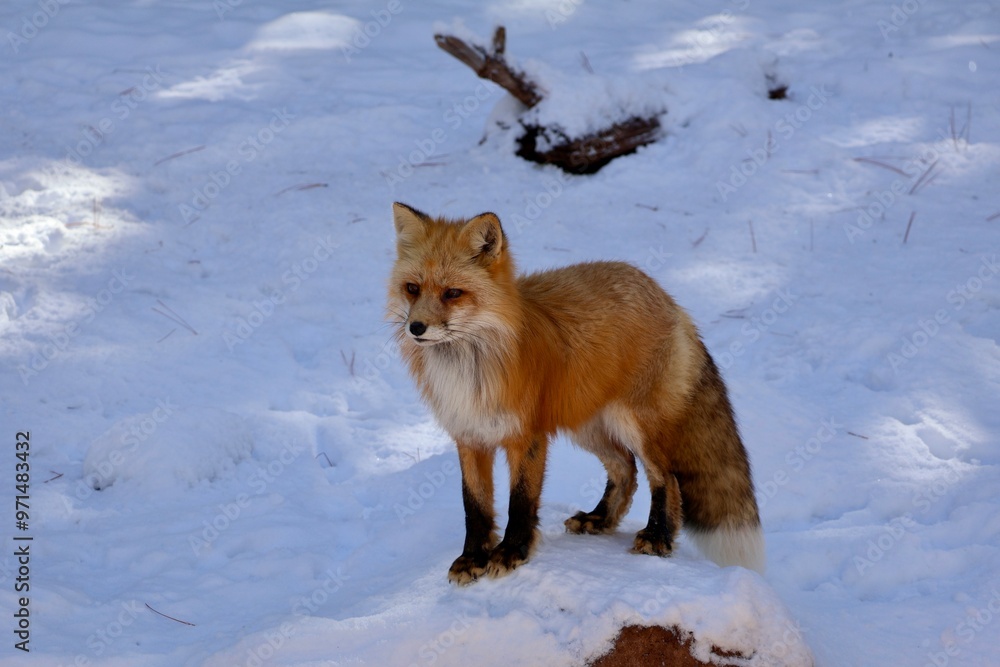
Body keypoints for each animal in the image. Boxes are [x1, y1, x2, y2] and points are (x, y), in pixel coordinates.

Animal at [388, 202, 765, 585]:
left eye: (453, 293)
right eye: (412, 288)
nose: (416, 327)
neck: (471, 369)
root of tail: (663, 294)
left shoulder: (527, 436)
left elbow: (520, 502)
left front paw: (511, 553)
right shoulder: (469, 436)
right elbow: (474, 506)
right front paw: (471, 558)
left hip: (635, 424)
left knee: (665, 477)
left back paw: (657, 536)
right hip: (586, 425)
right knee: (625, 469)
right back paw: (600, 519)